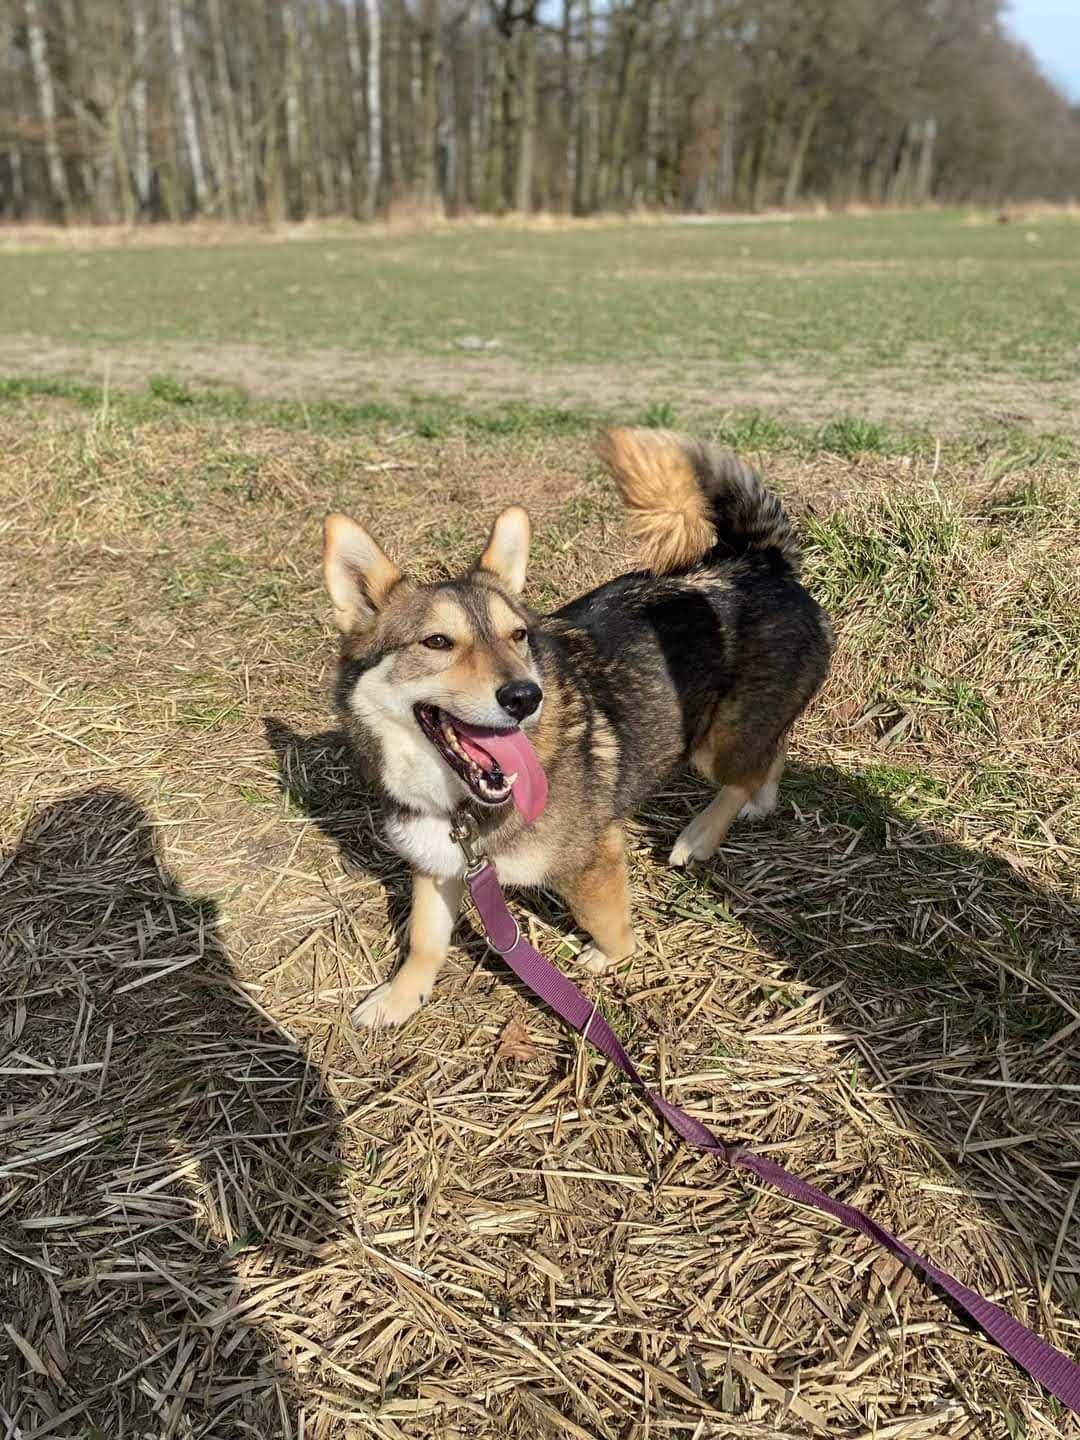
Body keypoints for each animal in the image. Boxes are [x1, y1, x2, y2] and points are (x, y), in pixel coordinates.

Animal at [324, 420, 835, 1031]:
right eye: (437, 642)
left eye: (518, 635)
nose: (525, 697)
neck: (459, 803)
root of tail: (758, 561)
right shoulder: (438, 862)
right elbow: (425, 941)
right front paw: (398, 998)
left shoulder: (593, 858)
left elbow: (610, 925)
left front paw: (608, 958)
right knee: (772, 750)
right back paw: (761, 799)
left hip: (715, 741)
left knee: (747, 766)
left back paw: (700, 835)